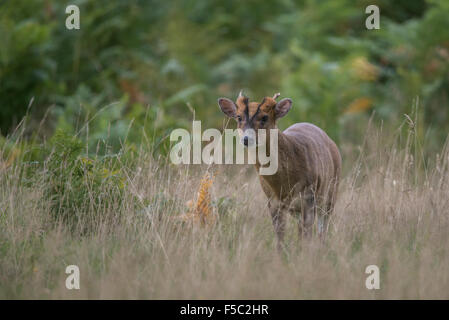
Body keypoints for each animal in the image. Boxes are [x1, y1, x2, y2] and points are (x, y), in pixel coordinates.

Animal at [217, 91, 340, 249]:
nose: (246, 139)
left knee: (322, 229)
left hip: (331, 191)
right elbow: (280, 238)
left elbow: (308, 235)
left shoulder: (309, 196)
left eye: (265, 117)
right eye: (238, 117)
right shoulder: (273, 201)